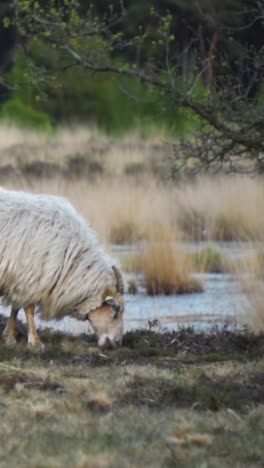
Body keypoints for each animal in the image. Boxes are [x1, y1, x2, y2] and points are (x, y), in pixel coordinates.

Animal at [0, 186, 125, 348]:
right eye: (116, 309)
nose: (117, 343)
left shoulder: (18, 281)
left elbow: (15, 308)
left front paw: (9, 338)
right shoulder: (30, 278)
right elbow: (28, 308)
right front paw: (35, 342)